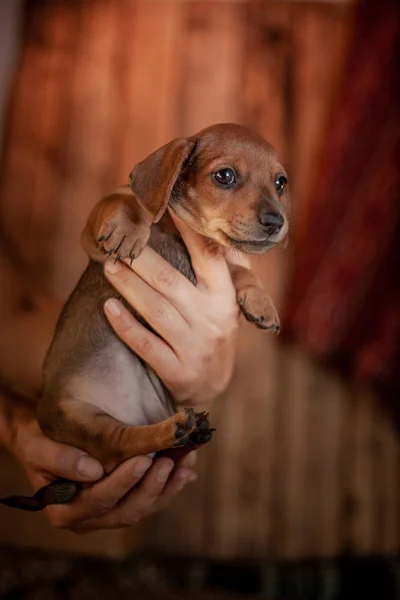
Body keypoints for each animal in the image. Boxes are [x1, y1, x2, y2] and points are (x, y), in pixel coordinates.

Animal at [0, 122, 288, 510]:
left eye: (280, 182)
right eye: (225, 176)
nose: (277, 221)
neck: (178, 232)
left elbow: (238, 270)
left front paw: (260, 300)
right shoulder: (91, 235)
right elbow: (125, 201)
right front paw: (130, 228)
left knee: (153, 455)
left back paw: (188, 435)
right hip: (80, 418)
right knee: (122, 445)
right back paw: (172, 431)